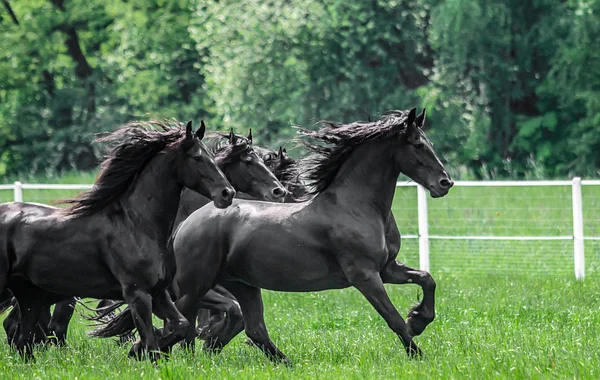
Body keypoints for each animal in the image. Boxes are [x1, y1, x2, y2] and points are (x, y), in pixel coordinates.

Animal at [94, 107, 452, 362]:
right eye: (418, 144)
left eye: (430, 143)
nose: (445, 183)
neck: (357, 205)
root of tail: (186, 224)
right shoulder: (364, 275)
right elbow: (391, 317)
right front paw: (417, 350)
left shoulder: (387, 268)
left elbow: (427, 279)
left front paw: (420, 318)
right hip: (197, 284)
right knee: (182, 320)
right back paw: (154, 351)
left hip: (242, 284)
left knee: (248, 328)